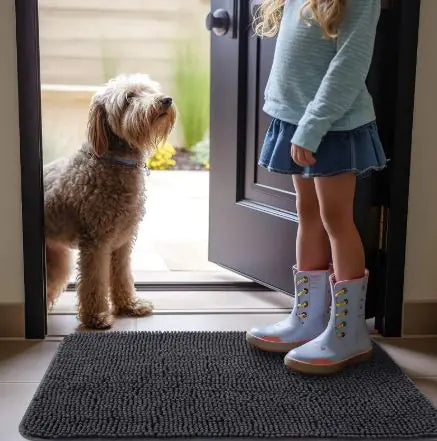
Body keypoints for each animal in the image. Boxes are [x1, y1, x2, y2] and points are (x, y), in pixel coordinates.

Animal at [43, 74, 175, 326]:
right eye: (129, 98)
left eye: (149, 90)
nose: (166, 100)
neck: (114, 161)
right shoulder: (95, 243)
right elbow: (94, 281)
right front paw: (96, 316)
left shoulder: (122, 242)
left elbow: (122, 275)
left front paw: (130, 305)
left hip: (56, 259)